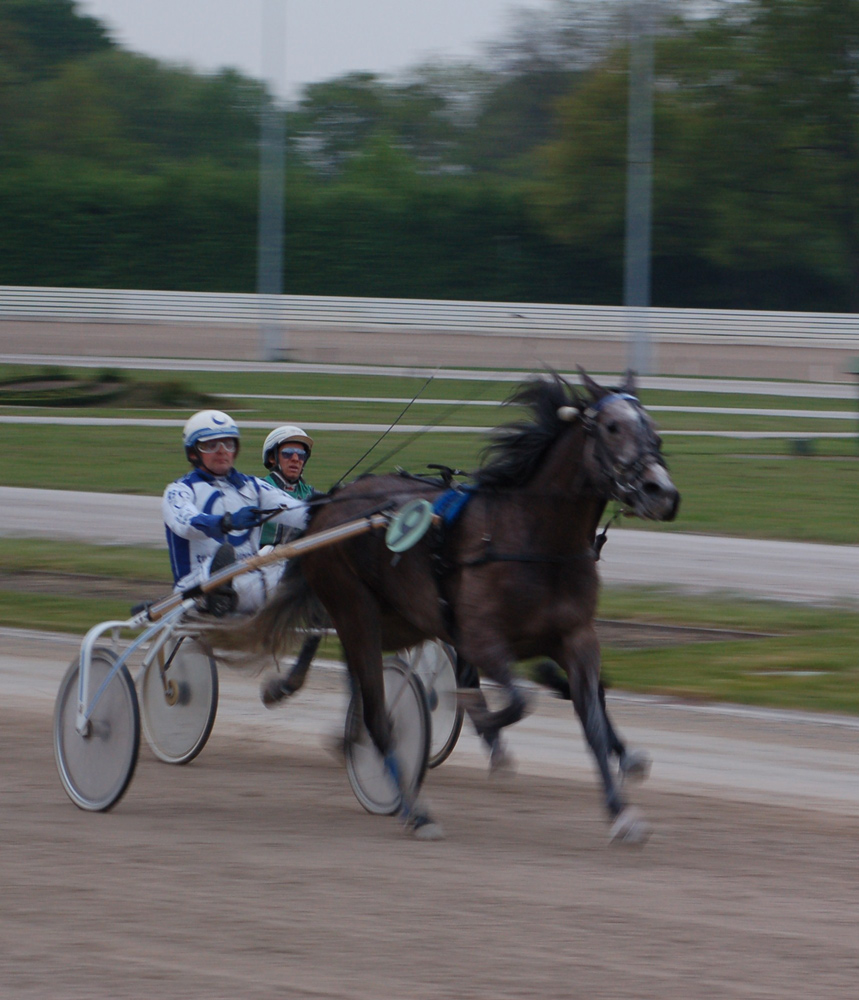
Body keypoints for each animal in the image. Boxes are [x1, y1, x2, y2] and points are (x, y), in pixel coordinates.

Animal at [237, 372, 680, 840]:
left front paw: (622, 811)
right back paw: (414, 807)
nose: (662, 492)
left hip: (396, 618)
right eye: (613, 427)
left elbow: (590, 717)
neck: (533, 539)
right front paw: (481, 719)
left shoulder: (576, 638)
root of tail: (328, 506)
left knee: (358, 680)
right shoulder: (481, 637)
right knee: (377, 712)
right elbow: (518, 700)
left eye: (654, 430)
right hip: (353, 607)